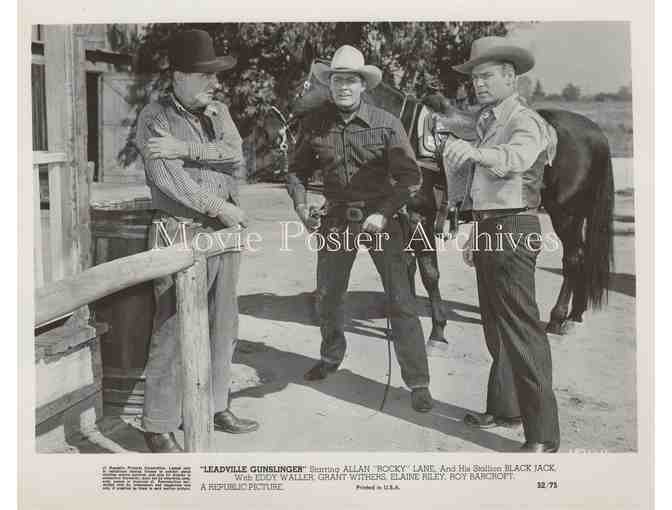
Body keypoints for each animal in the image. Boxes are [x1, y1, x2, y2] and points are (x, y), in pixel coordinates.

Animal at [262, 58, 616, 334]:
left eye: (302, 85)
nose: (271, 129)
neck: (400, 133)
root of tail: (595, 132)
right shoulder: (402, 215)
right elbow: (405, 267)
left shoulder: (420, 217)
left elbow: (429, 274)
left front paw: (437, 331)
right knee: (582, 257)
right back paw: (575, 314)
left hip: (565, 212)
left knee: (573, 259)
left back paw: (558, 318)